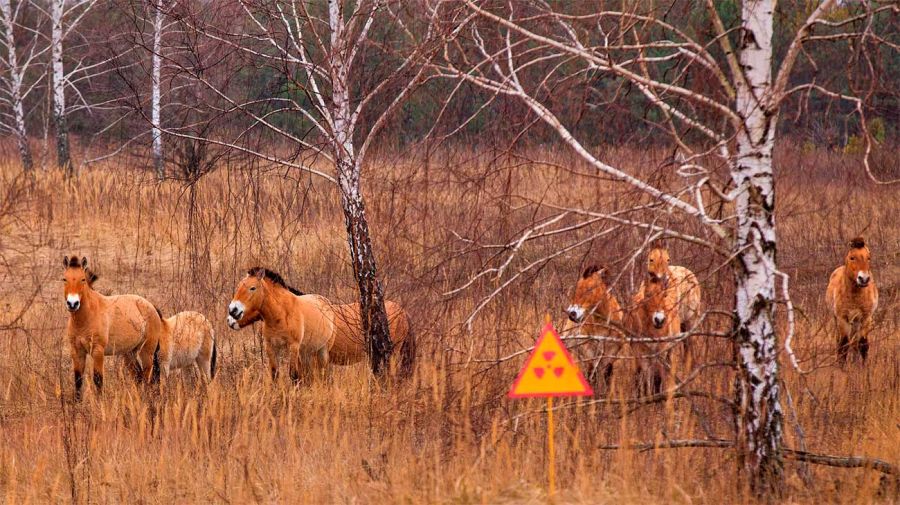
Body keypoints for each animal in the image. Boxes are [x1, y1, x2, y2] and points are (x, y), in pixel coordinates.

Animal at [62, 255, 164, 400]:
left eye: (83, 279)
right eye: (64, 279)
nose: (72, 303)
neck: (87, 317)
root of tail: (152, 306)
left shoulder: (97, 351)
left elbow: (98, 379)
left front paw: (100, 403)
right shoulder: (77, 351)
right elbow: (78, 380)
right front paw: (77, 404)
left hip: (147, 352)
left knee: (147, 377)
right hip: (129, 353)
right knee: (138, 376)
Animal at [226, 267, 414, 383]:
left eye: (252, 288)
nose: (232, 312)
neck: (283, 313)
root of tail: (403, 311)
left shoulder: (296, 349)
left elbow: (295, 376)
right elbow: (277, 375)